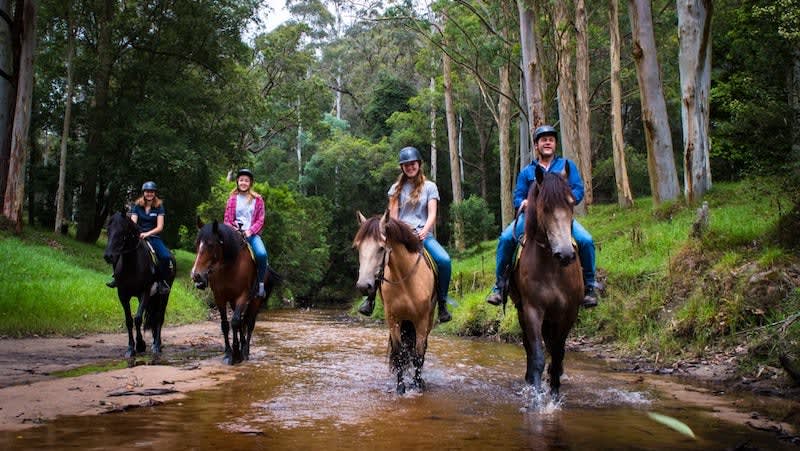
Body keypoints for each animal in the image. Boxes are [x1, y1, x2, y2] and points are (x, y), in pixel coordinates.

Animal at [102, 213, 174, 360]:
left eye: (122, 232)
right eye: (109, 230)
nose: (108, 256)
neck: (132, 264)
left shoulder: (144, 292)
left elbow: (138, 318)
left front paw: (140, 345)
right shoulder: (123, 295)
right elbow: (129, 320)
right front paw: (131, 348)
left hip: (164, 295)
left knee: (159, 317)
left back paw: (157, 345)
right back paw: (155, 343)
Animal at [191, 221, 282, 366]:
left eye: (210, 244)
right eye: (197, 243)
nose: (196, 275)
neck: (229, 266)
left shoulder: (243, 296)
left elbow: (234, 322)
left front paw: (236, 354)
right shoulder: (219, 297)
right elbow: (225, 325)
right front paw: (229, 353)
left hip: (255, 301)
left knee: (249, 323)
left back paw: (245, 351)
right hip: (233, 302)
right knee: (241, 322)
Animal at [354, 212, 434, 396]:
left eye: (381, 248)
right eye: (358, 248)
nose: (363, 286)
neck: (405, 280)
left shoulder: (421, 322)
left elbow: (418, 355)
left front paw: (418, 386)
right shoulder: (393, 320)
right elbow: (399, 354)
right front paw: (401, 387)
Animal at [510, 165, 584, 400]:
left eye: (571, 203)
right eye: (545, 207)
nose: (565, 254)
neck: (552, 269)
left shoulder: (569, 312)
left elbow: (558, 354)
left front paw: (554, 393)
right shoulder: (533, 309)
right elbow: (537, 355)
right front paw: (537, 395)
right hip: (521, 310)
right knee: (529, 346)